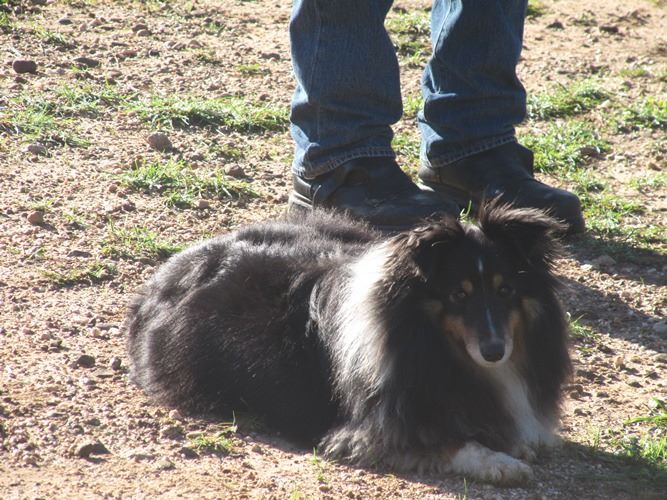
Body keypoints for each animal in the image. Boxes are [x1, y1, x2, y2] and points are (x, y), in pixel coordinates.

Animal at [126, 200, 576, 484]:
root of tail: (164, 276)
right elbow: (450, 442)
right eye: (458, 295)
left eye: (505, 291)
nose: (495, 351)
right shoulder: (367, 431)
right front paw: (501, 463)